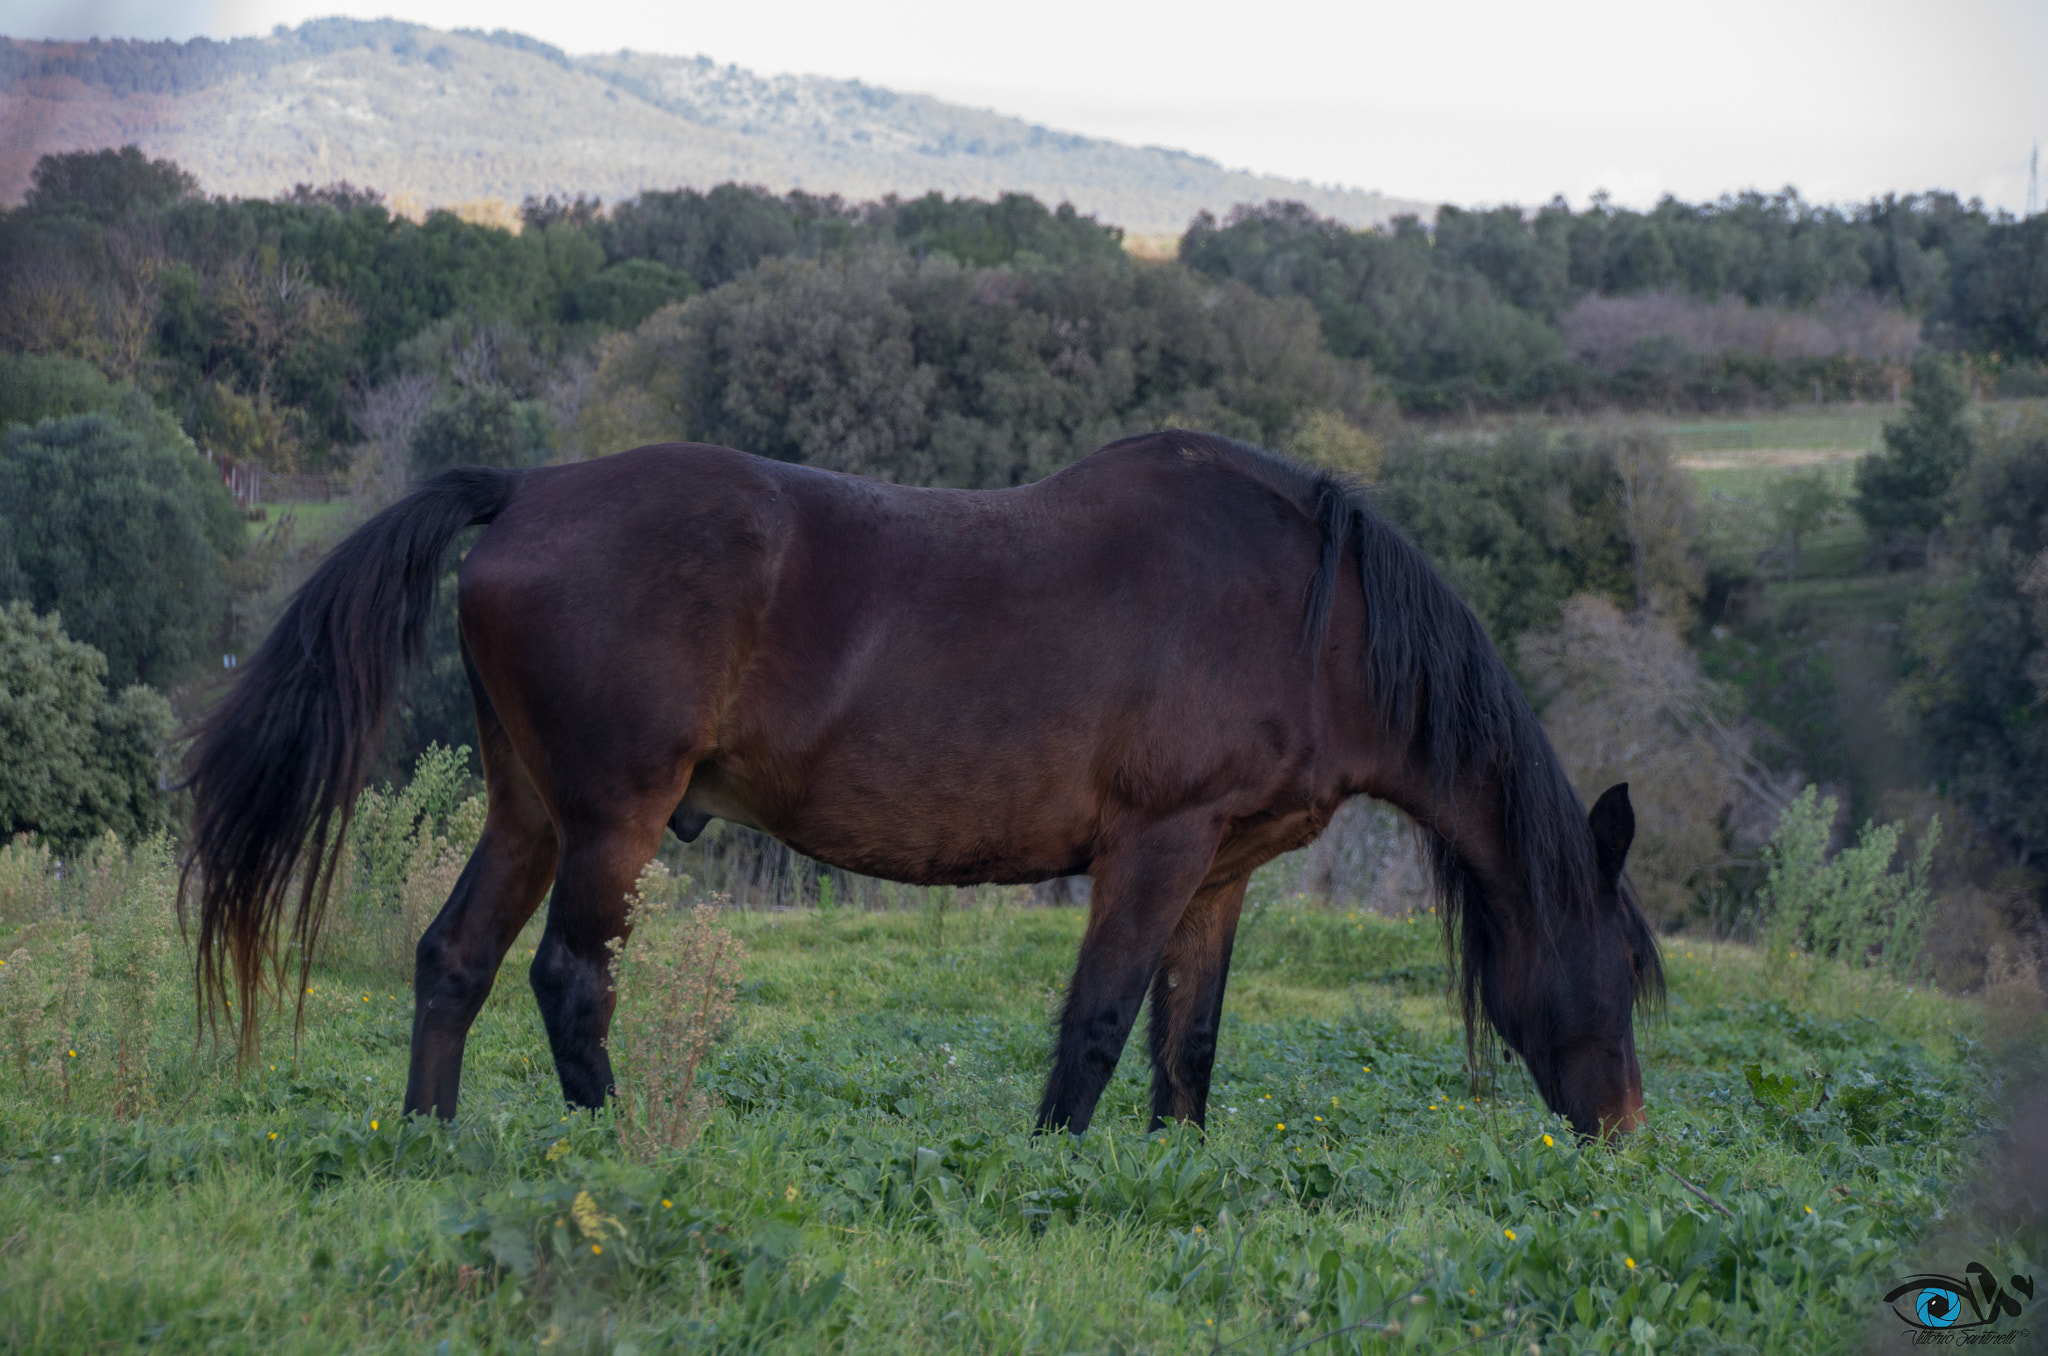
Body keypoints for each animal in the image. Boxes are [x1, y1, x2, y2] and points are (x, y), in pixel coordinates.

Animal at [184, 430, 1662, 1138]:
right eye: (1624, 973)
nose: (1626, 1129)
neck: (1305, 612)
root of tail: (525, 492)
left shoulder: (1219, 873)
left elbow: (1185, 1047)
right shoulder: (1154, 849)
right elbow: (1097, 1026)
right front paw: (1050, 1176)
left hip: (530, 812)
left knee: (454, 961)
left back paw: (425, 1147)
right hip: (614, 820)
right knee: (568, 983)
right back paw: (608, 1149)